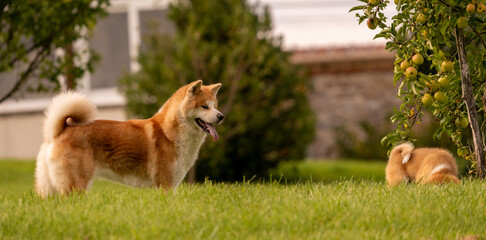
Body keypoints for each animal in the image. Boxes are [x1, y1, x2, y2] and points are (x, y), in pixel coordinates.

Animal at [35, 80, 224, 197]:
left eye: (215, 106)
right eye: (204, 107)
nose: (221, 116)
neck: (169, 133)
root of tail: (58, 132)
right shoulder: (165, 184)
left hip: (49, 188)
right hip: (75, 185)